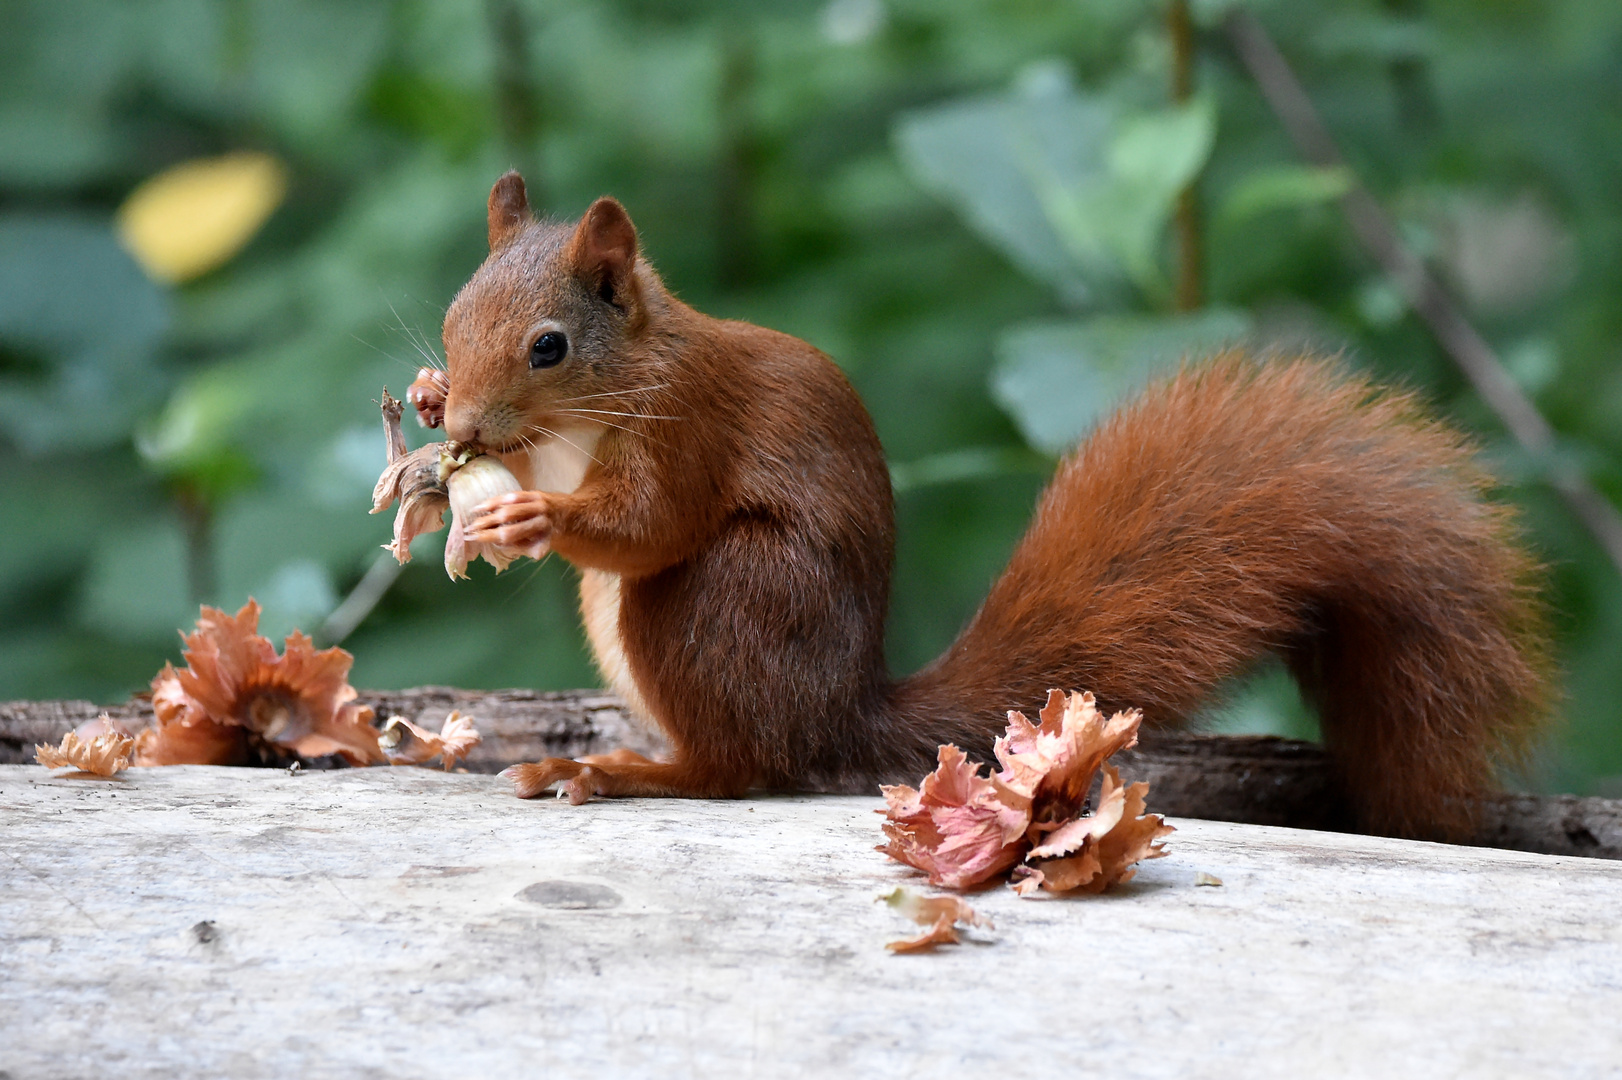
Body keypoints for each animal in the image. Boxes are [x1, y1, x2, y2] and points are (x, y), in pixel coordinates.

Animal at [402, 172, 1544, 836]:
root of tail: (838, 715)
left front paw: (531, 521)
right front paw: (428, 411)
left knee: (743, 770)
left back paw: (629, 773)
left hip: (721, 602)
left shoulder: (689, 422)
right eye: (454, 312)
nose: (464, 421)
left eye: (549, 345)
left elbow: (652, 523)